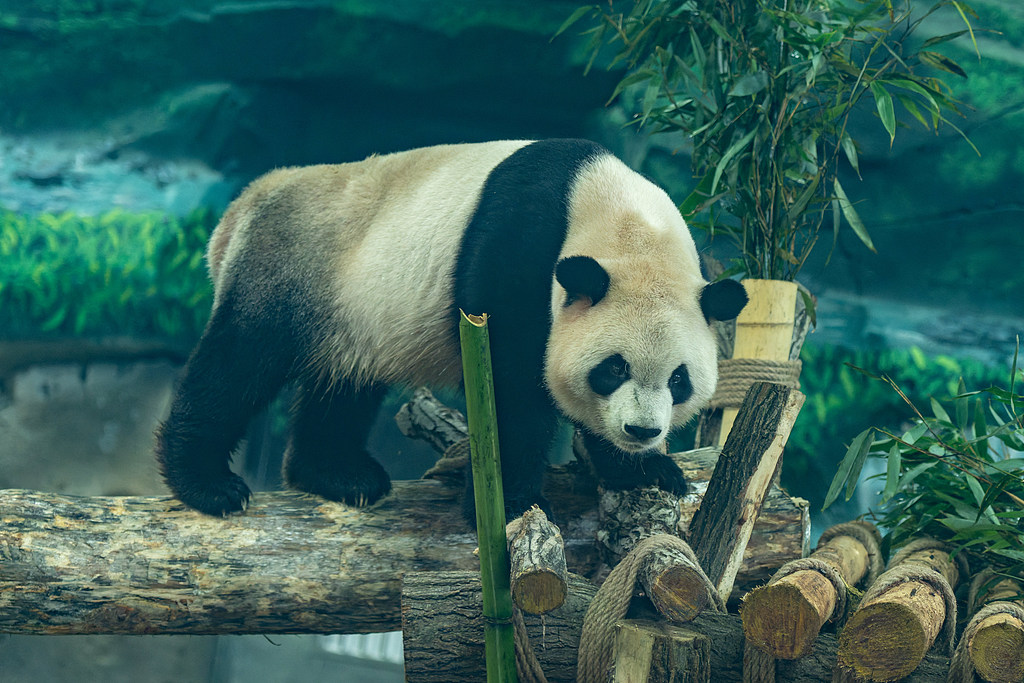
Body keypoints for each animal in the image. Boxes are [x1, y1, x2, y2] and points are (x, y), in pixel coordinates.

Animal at [155, 138, 747, 520]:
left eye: (678, 379)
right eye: (614, 368)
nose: (642, 431)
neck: (621, 220)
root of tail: (244, 205)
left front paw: (644, 470)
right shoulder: (518, 253)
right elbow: (510, 386)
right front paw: (512, 503)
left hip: (350, 313)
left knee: (342, 386)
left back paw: (339, 475)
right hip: (290, 261)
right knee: (238, 363)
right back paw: (208, 485)